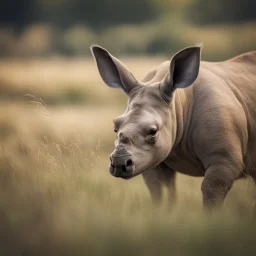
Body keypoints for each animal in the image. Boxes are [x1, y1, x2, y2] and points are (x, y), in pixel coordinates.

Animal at [92, 44, 256, 208]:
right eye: (115, 127)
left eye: (153, 132)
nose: (119, 163)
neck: (178, 103)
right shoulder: (152, 158)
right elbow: (160, 191)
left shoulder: (224, 161)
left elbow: (211, 194)